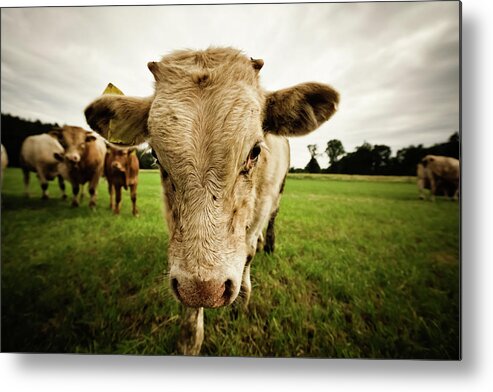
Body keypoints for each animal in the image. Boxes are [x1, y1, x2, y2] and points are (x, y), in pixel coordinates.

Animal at [83, 46, 338, 356]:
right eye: (155, 155)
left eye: (255, 151)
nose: (205, 289)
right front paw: (190, 338)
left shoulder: (260, 208)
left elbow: (248, 253)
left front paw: (242, 300)